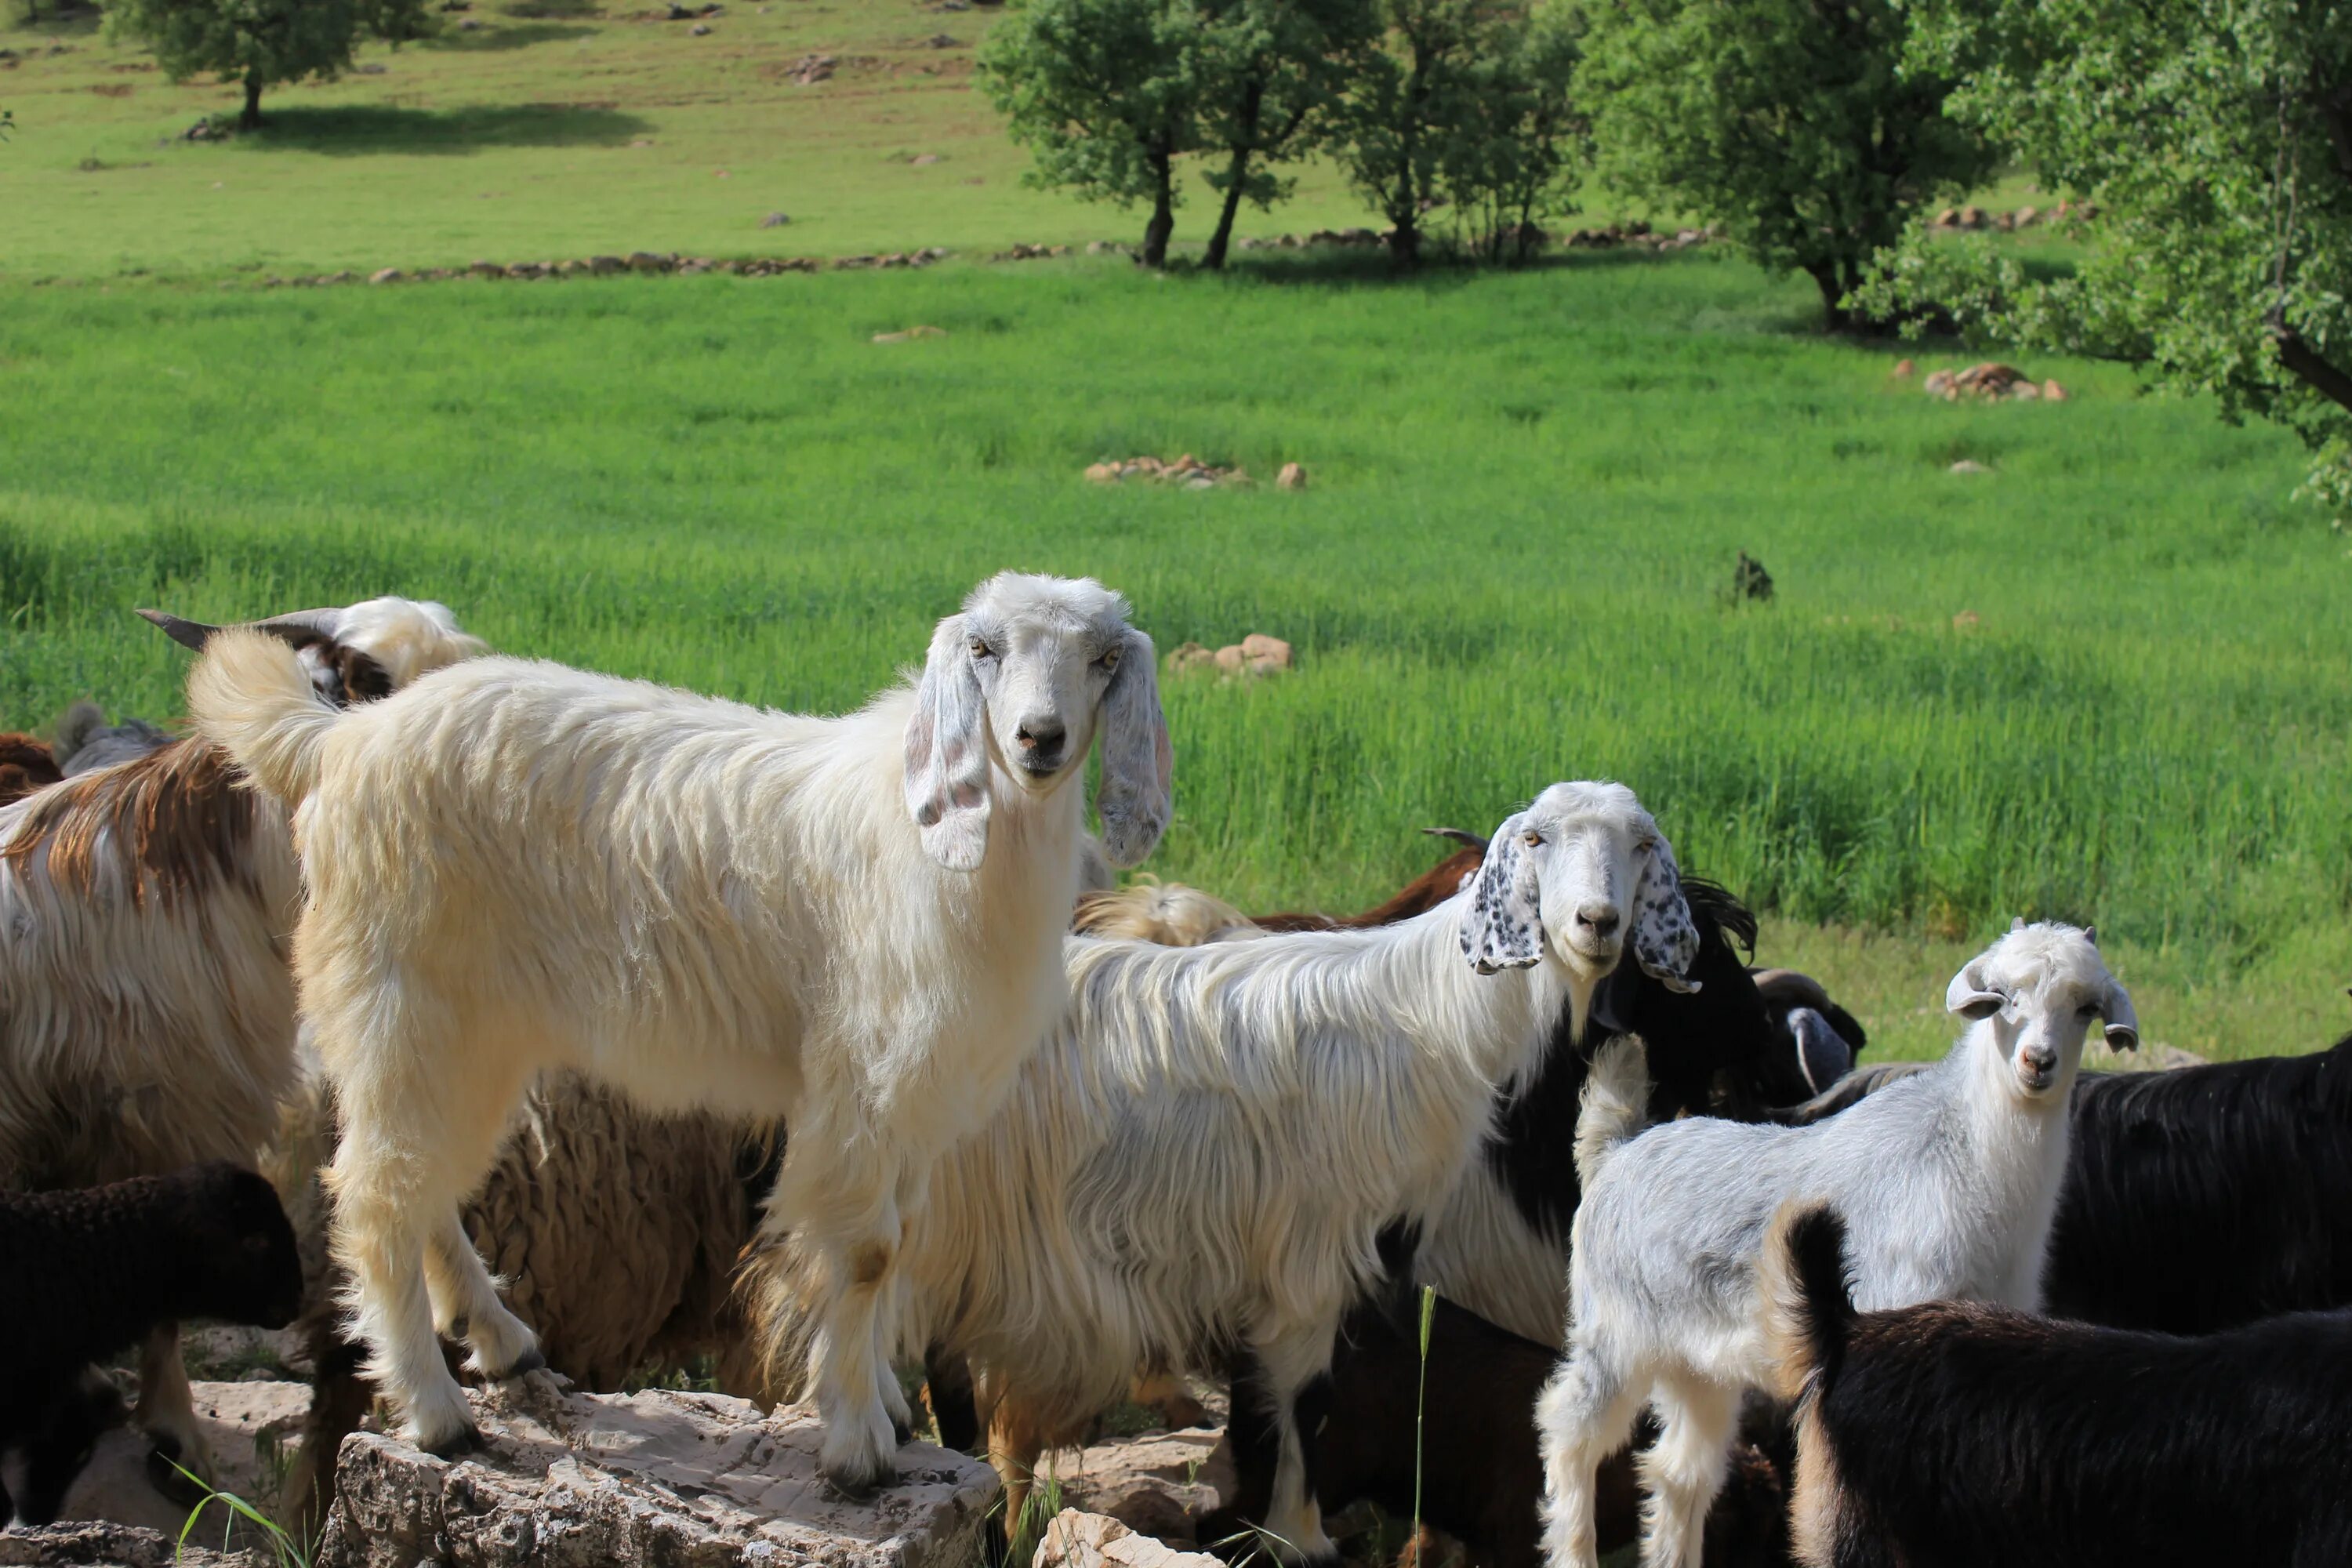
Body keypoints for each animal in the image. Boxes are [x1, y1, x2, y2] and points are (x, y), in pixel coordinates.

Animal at [191, 571, 1167, 1495]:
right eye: (982, 648)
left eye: (1105, 656)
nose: (1040, 739)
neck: (937, 839)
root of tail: (340, 742)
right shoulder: (865, 1077)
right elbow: (865, 1254)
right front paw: (857, 1443)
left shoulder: (922, 1099)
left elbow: (902, 1248)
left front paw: (885, 1401)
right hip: (403, 1003)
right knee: (377, 1193)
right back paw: (436, 1411)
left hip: (477, 1033)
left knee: (424, 1185)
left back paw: (501, 1336)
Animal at [753, 780, 1693, 1561]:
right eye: (1534, 838)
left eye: (1643, 843)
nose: (1597, 925)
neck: (1431, 1011)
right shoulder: (1312, 1255)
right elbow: (1307, 1401)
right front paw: (1300, 1536)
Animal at [1534, 921, 2145, 1568]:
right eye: (2001, 996)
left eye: (2085, 1007)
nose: (2037, 1062)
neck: (1965, 1155)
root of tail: (1616, 1151)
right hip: (1614, 1335)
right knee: (1567, 1430)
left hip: (1698, 1366)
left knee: (1678, 1472)